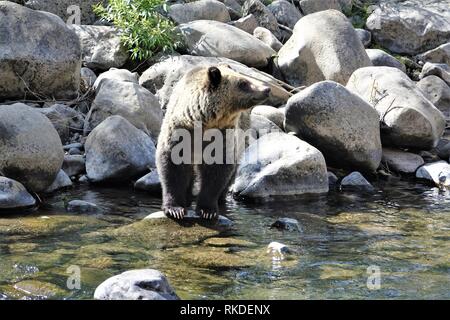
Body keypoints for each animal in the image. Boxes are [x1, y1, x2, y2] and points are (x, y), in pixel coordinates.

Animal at [156, 65, 270, 220]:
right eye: (243, 83)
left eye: (245, 79)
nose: (266, 89)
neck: (204, 123)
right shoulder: (180, 131)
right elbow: (172, 165)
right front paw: (175, 209)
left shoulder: (222, 136)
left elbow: (217, 170)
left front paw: (207, 210)